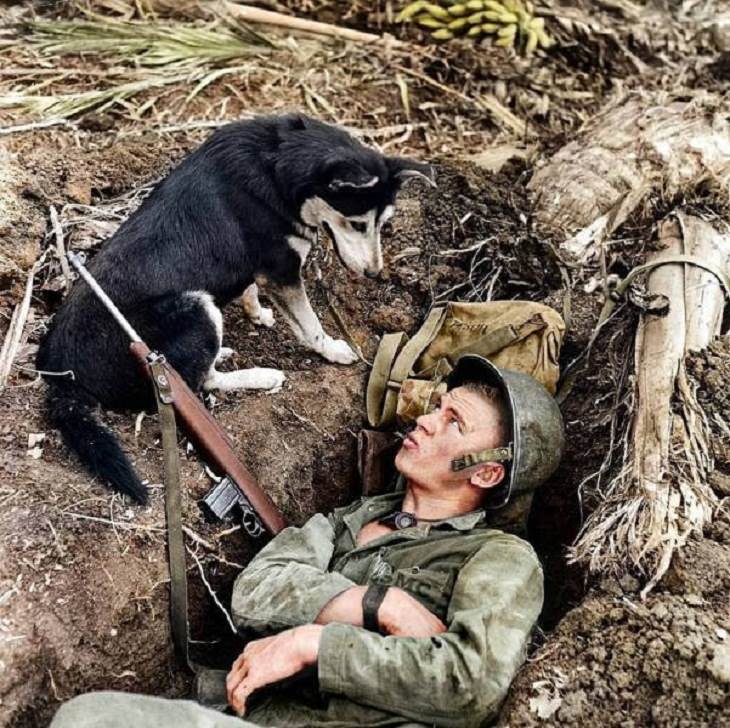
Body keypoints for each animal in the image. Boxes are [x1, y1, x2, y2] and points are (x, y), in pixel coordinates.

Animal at [37, 114, 432, 504]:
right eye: (357, 223)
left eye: (382, 223)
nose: (374, 273)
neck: (279, 167)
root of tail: (63, 377)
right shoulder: (282, 270)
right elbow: (310, 325)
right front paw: (333, 350)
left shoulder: (262, 267)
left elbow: (252, 287)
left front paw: (258, 312)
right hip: (197, 307)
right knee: (201, 380)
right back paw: (262, 375)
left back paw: (224, 352)